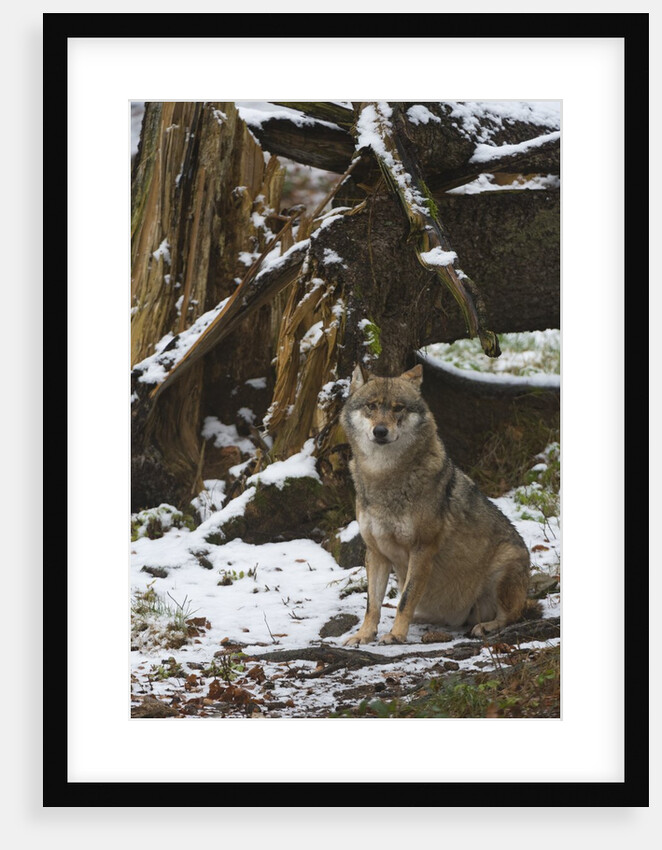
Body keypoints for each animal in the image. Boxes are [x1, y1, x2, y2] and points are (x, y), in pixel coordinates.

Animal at [340, 363, 530, 645]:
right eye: (371, 406)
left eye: (398, 408)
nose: (380, 431)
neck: (384, 476)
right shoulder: (376, 552)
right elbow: (372, 604)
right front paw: (364, 635)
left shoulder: (422, 549)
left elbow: (405, 600)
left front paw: (395, 635)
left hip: (504, 565)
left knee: (513, 615)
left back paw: (485, 626)